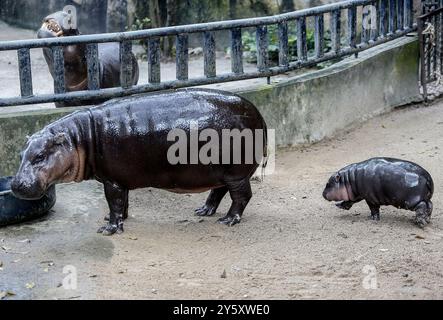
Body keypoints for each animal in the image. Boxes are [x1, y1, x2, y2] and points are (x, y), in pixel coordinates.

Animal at [10, 89, 268, 236]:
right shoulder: (119, 179)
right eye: (21, 153)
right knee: (219, 191)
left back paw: (228, 221)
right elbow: (122, 203)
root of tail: (259, 114)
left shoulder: (111, 181)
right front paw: (114, 220)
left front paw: (108, 229)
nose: (15, 185)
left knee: (242, 196)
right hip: (220, 173)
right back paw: (203, 211)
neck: (79, 137)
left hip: (235, 173)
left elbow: (114, 202)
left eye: (40, 156)